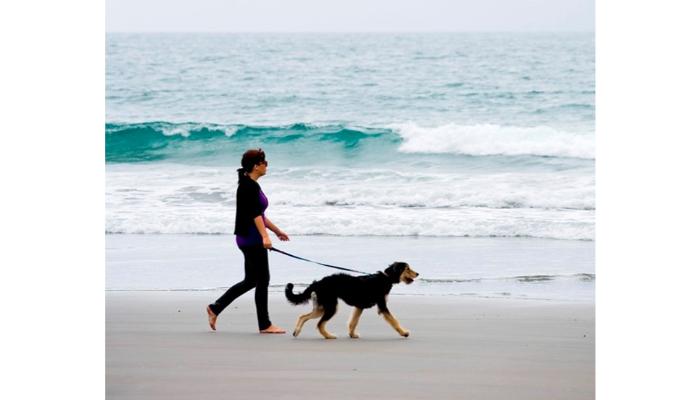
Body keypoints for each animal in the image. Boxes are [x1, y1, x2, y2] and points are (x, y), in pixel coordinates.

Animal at [286, 260, 418, 340]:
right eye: (407, 268)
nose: (417, 274)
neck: (386, 278)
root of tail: (319, 282)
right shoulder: (382, 306)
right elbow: (394, 321)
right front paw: (404, 332)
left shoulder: (359, 307)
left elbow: (354, 322)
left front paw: (352, 334)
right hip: (331, 306)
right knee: (319, 324)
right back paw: (329, 336)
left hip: (322, 307)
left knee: (303, 316)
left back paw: (297, 331)